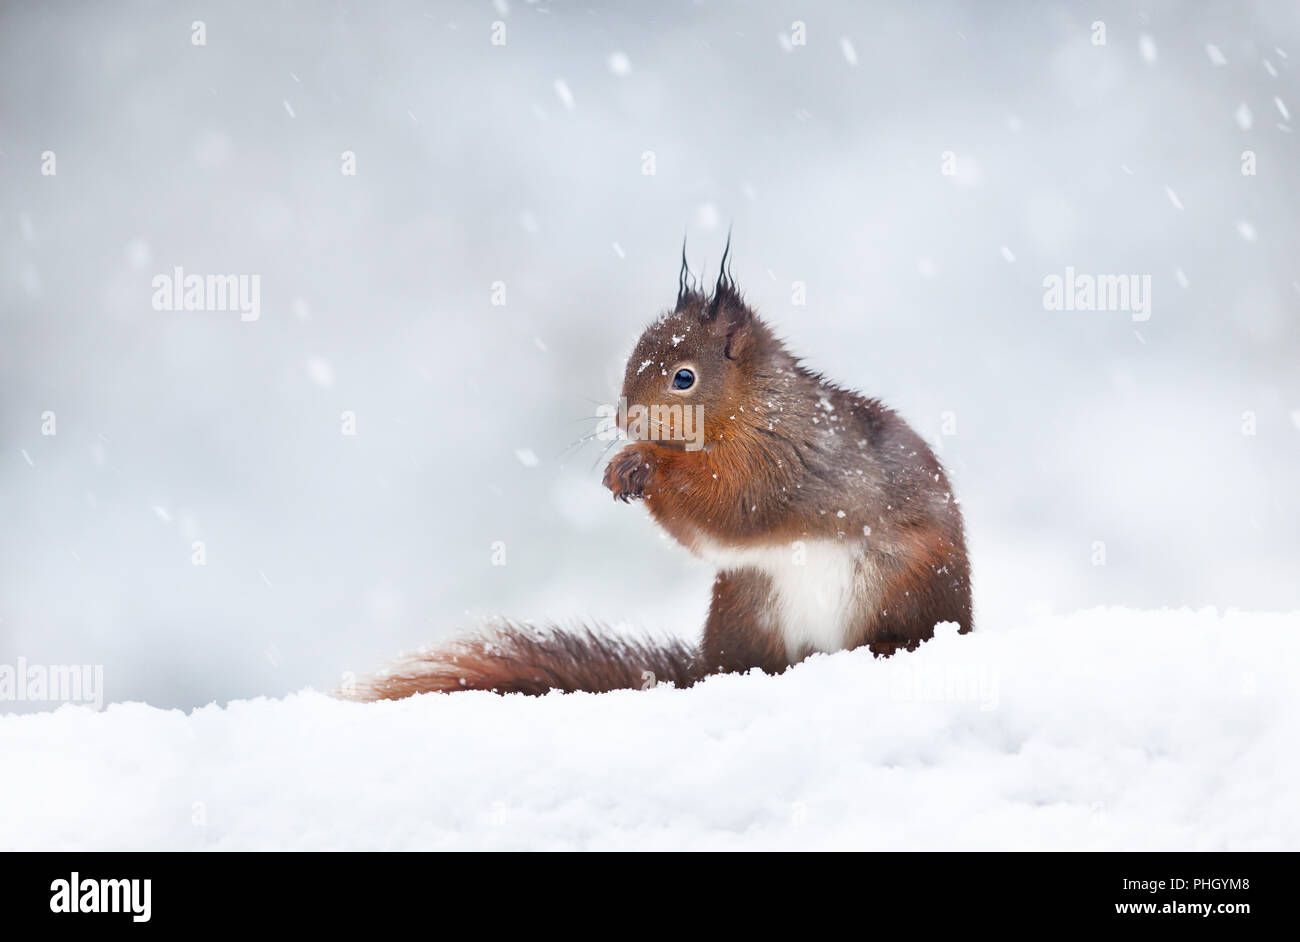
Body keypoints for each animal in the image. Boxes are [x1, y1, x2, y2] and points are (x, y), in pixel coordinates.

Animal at [356, 245, 967, 701]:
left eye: (683, 377)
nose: (625, 420)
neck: (754, 411)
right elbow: (705, 534)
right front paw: (624, 470)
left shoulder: (789, 461)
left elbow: (736, 506)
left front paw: (643, 461)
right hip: (744, 607)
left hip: (903, 587)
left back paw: (889, 646)